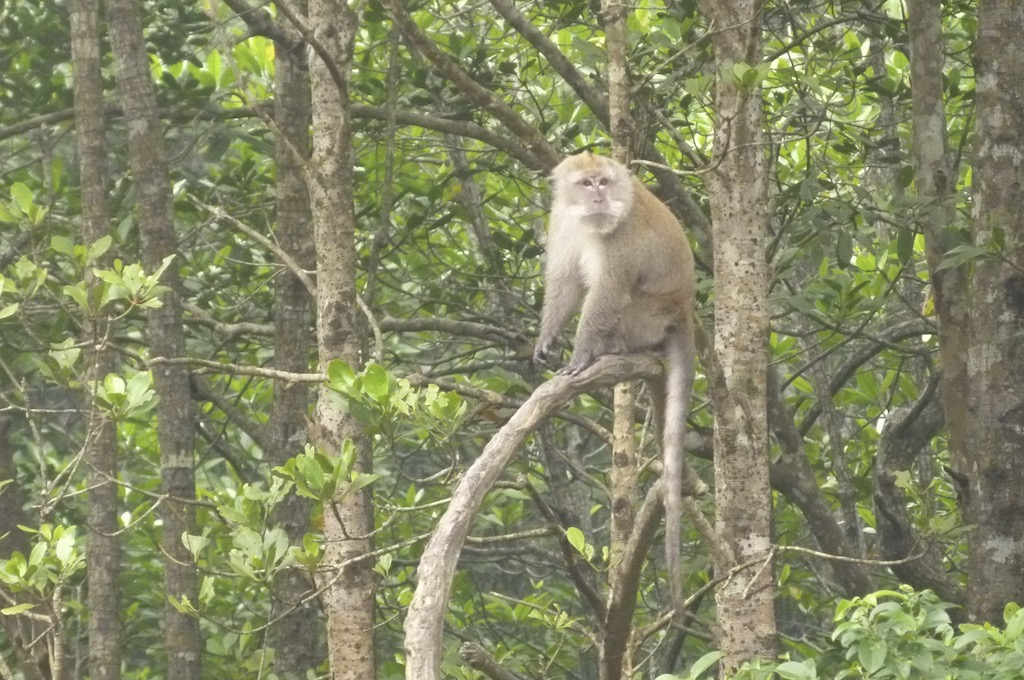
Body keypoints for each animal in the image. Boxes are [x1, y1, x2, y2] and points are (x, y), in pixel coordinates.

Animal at [532, 151, 700, 618]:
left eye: (603, 182)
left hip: (648, 316)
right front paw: (545, 340)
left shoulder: (621, 240)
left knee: (622, 300)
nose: (599, 198)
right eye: (586, 183)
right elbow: (566, 282)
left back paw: (613, 349)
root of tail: (683, 310)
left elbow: (605, 293)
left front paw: (580, 356)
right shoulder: (562, 220)